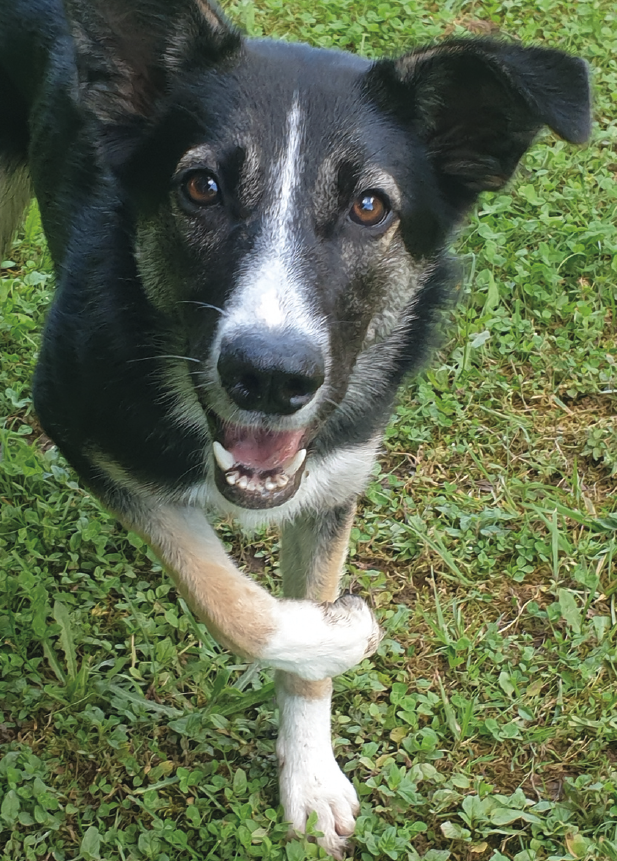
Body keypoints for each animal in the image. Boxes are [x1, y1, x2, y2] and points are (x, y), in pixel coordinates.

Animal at [0, 0, 591, 855]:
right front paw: (343, 630)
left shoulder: (332, 481)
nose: (271, 376)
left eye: (369, 206)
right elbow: (232, 600)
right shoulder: (83, 429)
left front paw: (309, 777)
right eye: (201, 186)